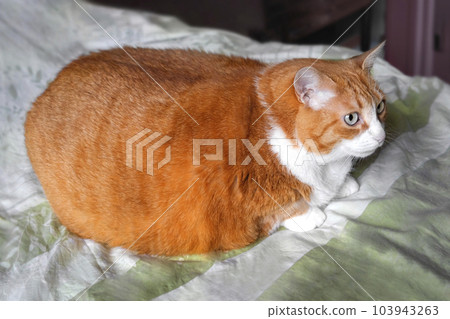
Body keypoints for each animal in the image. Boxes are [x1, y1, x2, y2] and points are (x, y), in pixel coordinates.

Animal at [24, 43, 384, 258]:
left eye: (380, 107)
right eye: (352, 118)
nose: (381, 137)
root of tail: (44, 94)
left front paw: (344, 185)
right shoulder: (248, 193)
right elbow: (284, 207)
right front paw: (311, 214)